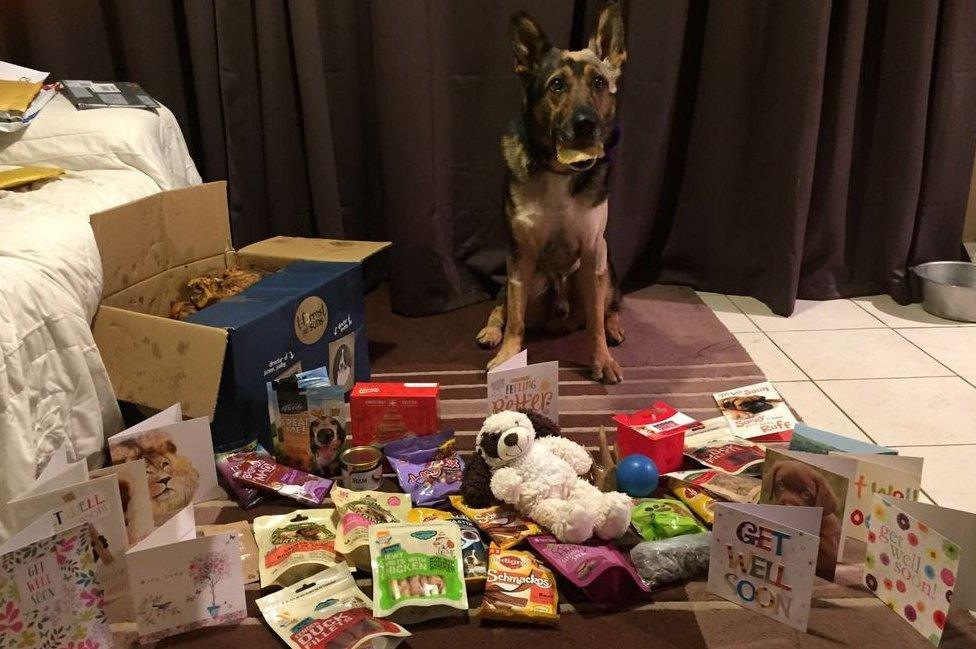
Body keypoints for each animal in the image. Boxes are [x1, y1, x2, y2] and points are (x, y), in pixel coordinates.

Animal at [478, 2, 628, 382]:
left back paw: (615, 326)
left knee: (608, 308)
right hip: (527, 279)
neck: (560, 171)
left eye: (599, 82)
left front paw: (602, 359)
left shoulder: (593, 250)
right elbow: (515, 318)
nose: (586, 123)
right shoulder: (519, 253)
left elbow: (596, 325)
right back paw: (491, 331)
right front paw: (508, 356)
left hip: (605, 268)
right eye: (556, 84)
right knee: (502, 305)